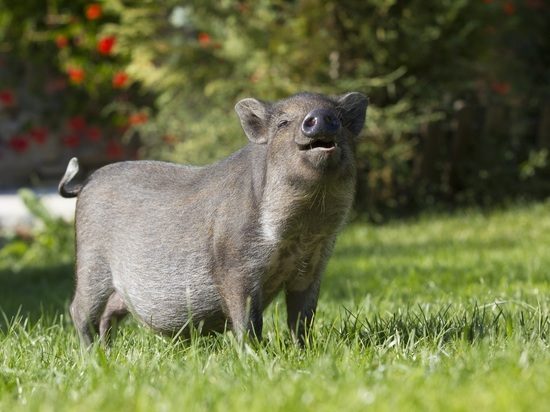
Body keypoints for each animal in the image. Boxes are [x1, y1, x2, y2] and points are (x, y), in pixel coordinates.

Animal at [59, 92, 370, 344]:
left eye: (339, 118)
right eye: (283, 122)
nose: (320, 117)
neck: (302, 231)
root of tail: (85, 183)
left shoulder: (312, 266)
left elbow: (302, 318)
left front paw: (302, 351)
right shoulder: (235, 266)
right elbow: (247, 320)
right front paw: (254, 354)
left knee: (108, 315)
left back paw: (107, 352)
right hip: (91, 263)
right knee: (79, 309)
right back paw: (92, 355)